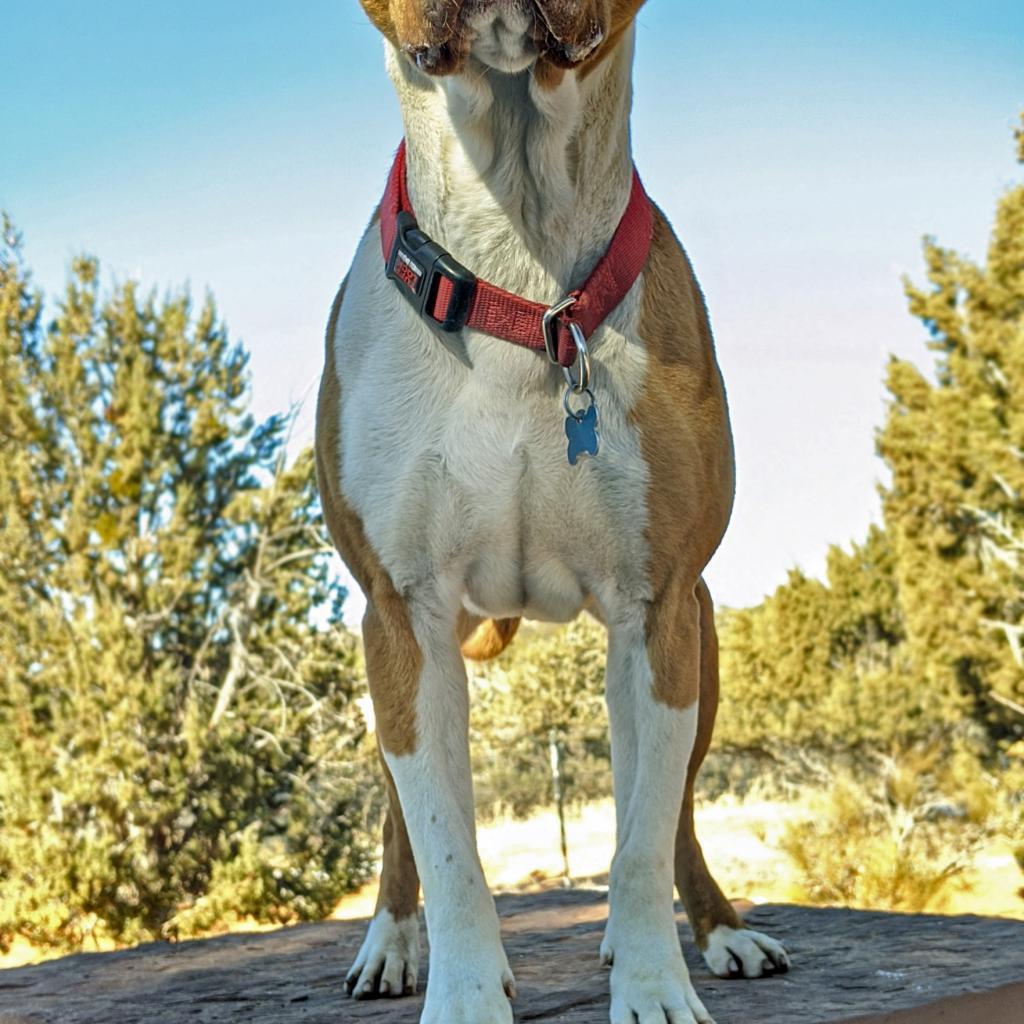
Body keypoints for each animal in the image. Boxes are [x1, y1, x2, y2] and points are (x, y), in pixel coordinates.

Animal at [315, 4, 786, 1019]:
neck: (514, 268)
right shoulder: (403, 615)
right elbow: (447, 844)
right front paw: (461, 991)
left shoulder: (659, 608)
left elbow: (643, 833)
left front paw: (653, 982)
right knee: (400, 820)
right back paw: (391, 940)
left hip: (699, 647)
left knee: (671, 809)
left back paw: (716, 931)